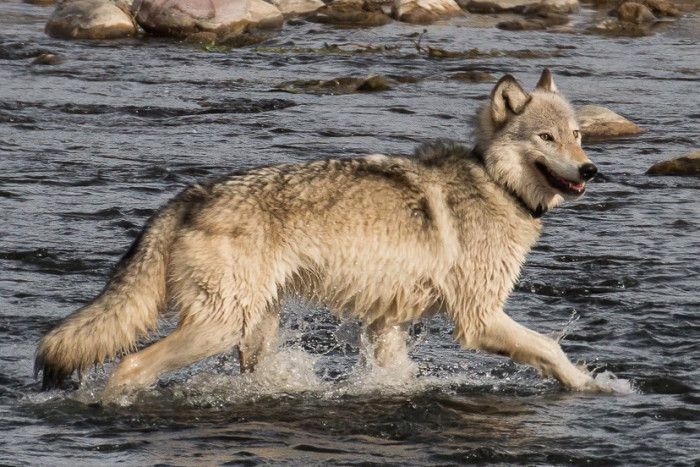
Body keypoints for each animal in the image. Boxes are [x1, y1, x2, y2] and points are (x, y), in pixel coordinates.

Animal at [36, 69, 601, 393]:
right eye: (546, 138)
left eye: (577, 135)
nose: (590, 170)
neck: (494, 182)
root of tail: (192, 194)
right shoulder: (479, 319)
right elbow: (552, 349)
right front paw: (597, 387)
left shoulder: (387, 323)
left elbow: (395, 376)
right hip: (220, 327)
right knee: (129, 367)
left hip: (253, 331)